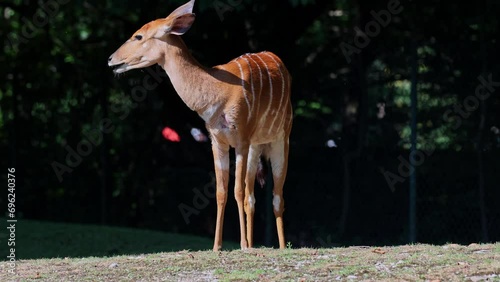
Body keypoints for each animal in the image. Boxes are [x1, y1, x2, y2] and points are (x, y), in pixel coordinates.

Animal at [107, 0, 292, 251]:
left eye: (138, 36)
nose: (111, 59)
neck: (218, 92)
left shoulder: (241, 139)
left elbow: (237, 191)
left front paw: (242, 245)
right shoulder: (217, 140)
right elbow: (222, 192)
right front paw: (217, 246)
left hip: (281, 139)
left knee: (276, 195)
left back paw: (279, 247)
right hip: (257, 146)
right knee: (253, 196)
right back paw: (254, 245)